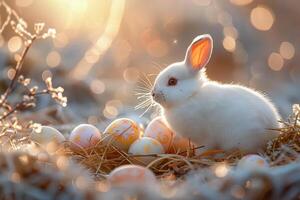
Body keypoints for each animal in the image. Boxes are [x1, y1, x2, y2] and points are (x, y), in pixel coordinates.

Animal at [152, 34, 282, 152]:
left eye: (172, 81)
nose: (153, 94)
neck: (190, 96)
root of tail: (273, 131)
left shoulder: (204, 139)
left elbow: (204, 148)